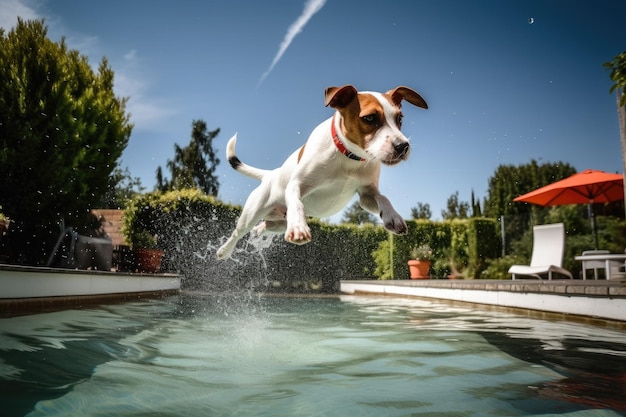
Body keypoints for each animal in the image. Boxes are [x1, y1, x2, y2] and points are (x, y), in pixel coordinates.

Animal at [214, 83, 424, 260]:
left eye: (399, 118)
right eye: (369, 118)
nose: (402, 146)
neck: (349, 158)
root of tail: (271, 174)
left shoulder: (366, 194)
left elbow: (383, 198)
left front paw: (392, 216)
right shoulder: (297, 184)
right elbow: (296, 201)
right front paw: (299, 227)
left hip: (279, 223)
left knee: (261, 228)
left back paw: (257, 233)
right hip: (252, 213)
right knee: (238, 232)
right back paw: (224, 251)